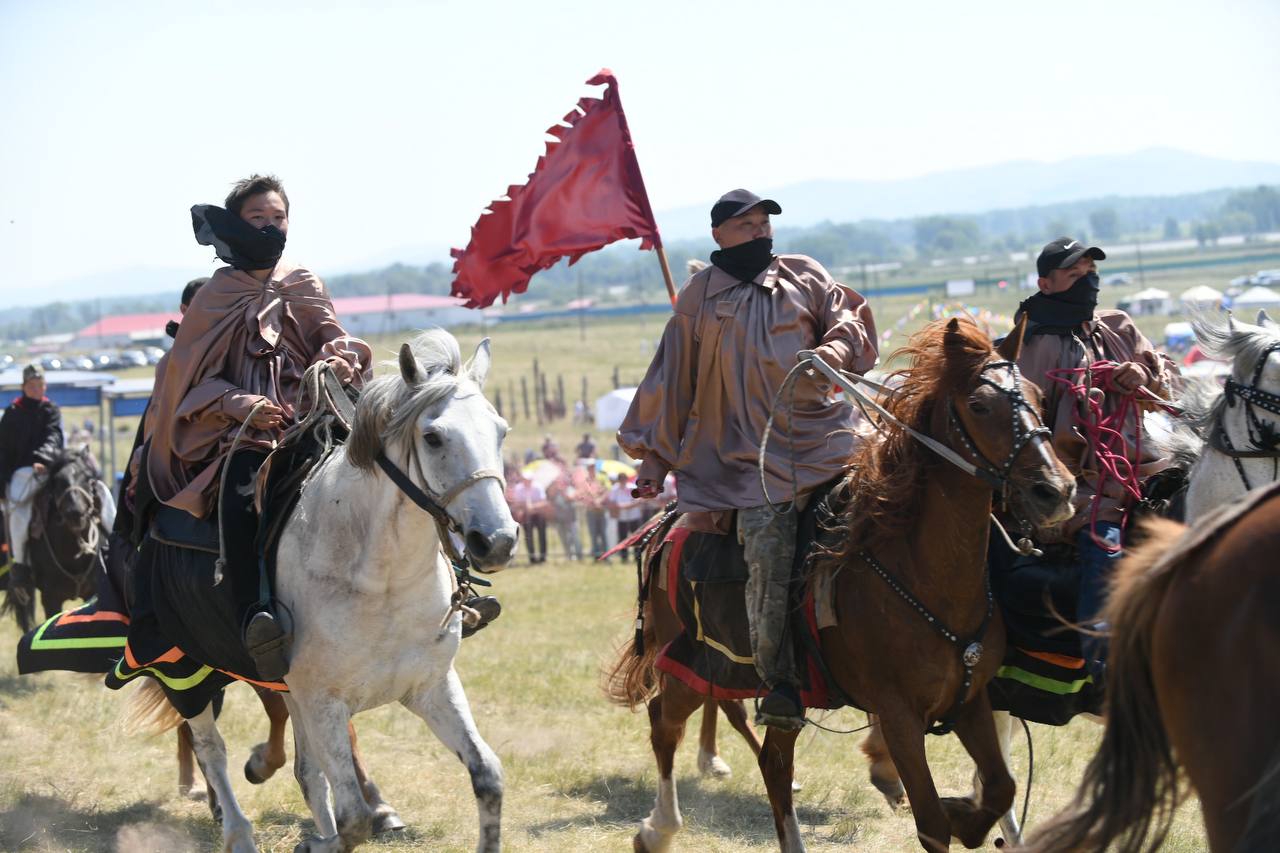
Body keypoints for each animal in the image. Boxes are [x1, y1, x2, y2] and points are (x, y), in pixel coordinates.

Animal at [181, 330, 519, 850]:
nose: (496, 540)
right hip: (181, 669)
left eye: (500, 431)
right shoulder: (324, 702)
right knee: (209, 747)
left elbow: (488, 776)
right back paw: (237, 828)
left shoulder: (430, 687)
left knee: (304, 772)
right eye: (433, 436)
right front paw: (319, 841)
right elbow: (354, 817)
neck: (382, 583)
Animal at [609, 315, 1080, 845]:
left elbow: (1000, 786)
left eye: (1038, 396)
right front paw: (950, 812)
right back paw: (658, 829)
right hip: (693, 664)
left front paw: (969, 815)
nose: (1055, 490)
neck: (922, 571)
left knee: (774, 764)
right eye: (979, 405)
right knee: (664, 723)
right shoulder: (898, 716)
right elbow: (931, 822)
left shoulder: (970, 699)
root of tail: (667, 524)